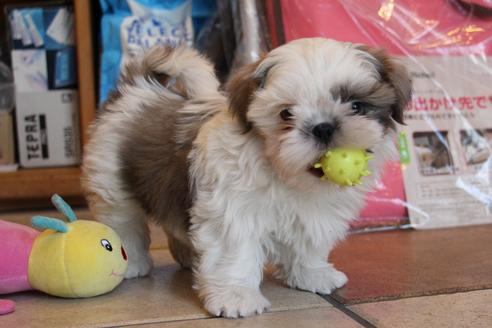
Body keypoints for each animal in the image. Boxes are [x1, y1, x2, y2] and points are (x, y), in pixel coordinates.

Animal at [83, 37, 412, 318]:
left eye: (356, 105)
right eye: (286, 114)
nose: (323, 127)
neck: (284, 173)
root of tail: (136, 90)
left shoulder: (315, 213)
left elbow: (308, 242)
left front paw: (313, 274)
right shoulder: (232, 211)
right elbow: (234, 251)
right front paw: (236, 297)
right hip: (112, 182)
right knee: (123, 222)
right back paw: (133, 262)